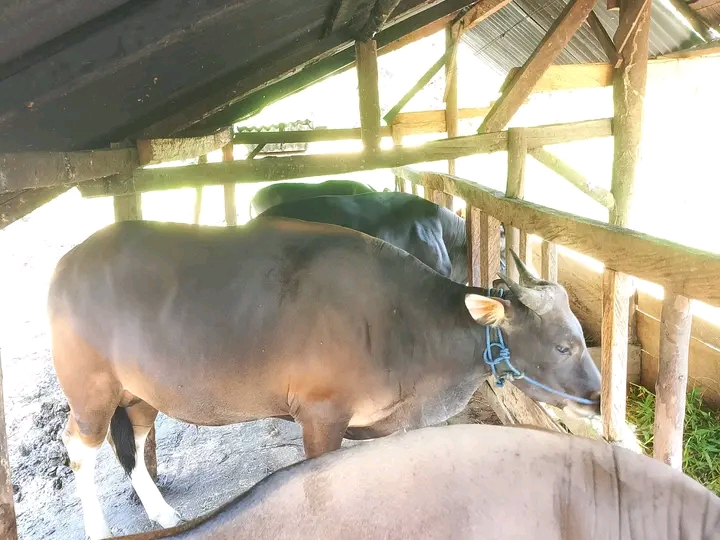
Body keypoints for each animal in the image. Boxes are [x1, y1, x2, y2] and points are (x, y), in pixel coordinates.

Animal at [48, 218, 600, 539]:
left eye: (579, 335)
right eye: (563, 345)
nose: (597, 397)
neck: (401, 322)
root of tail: (66, 263)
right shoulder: (320, 415)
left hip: (139, 394)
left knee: (133, 443)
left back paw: (161, 513)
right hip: (91, 392)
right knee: (78, 445)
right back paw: (97, 528)